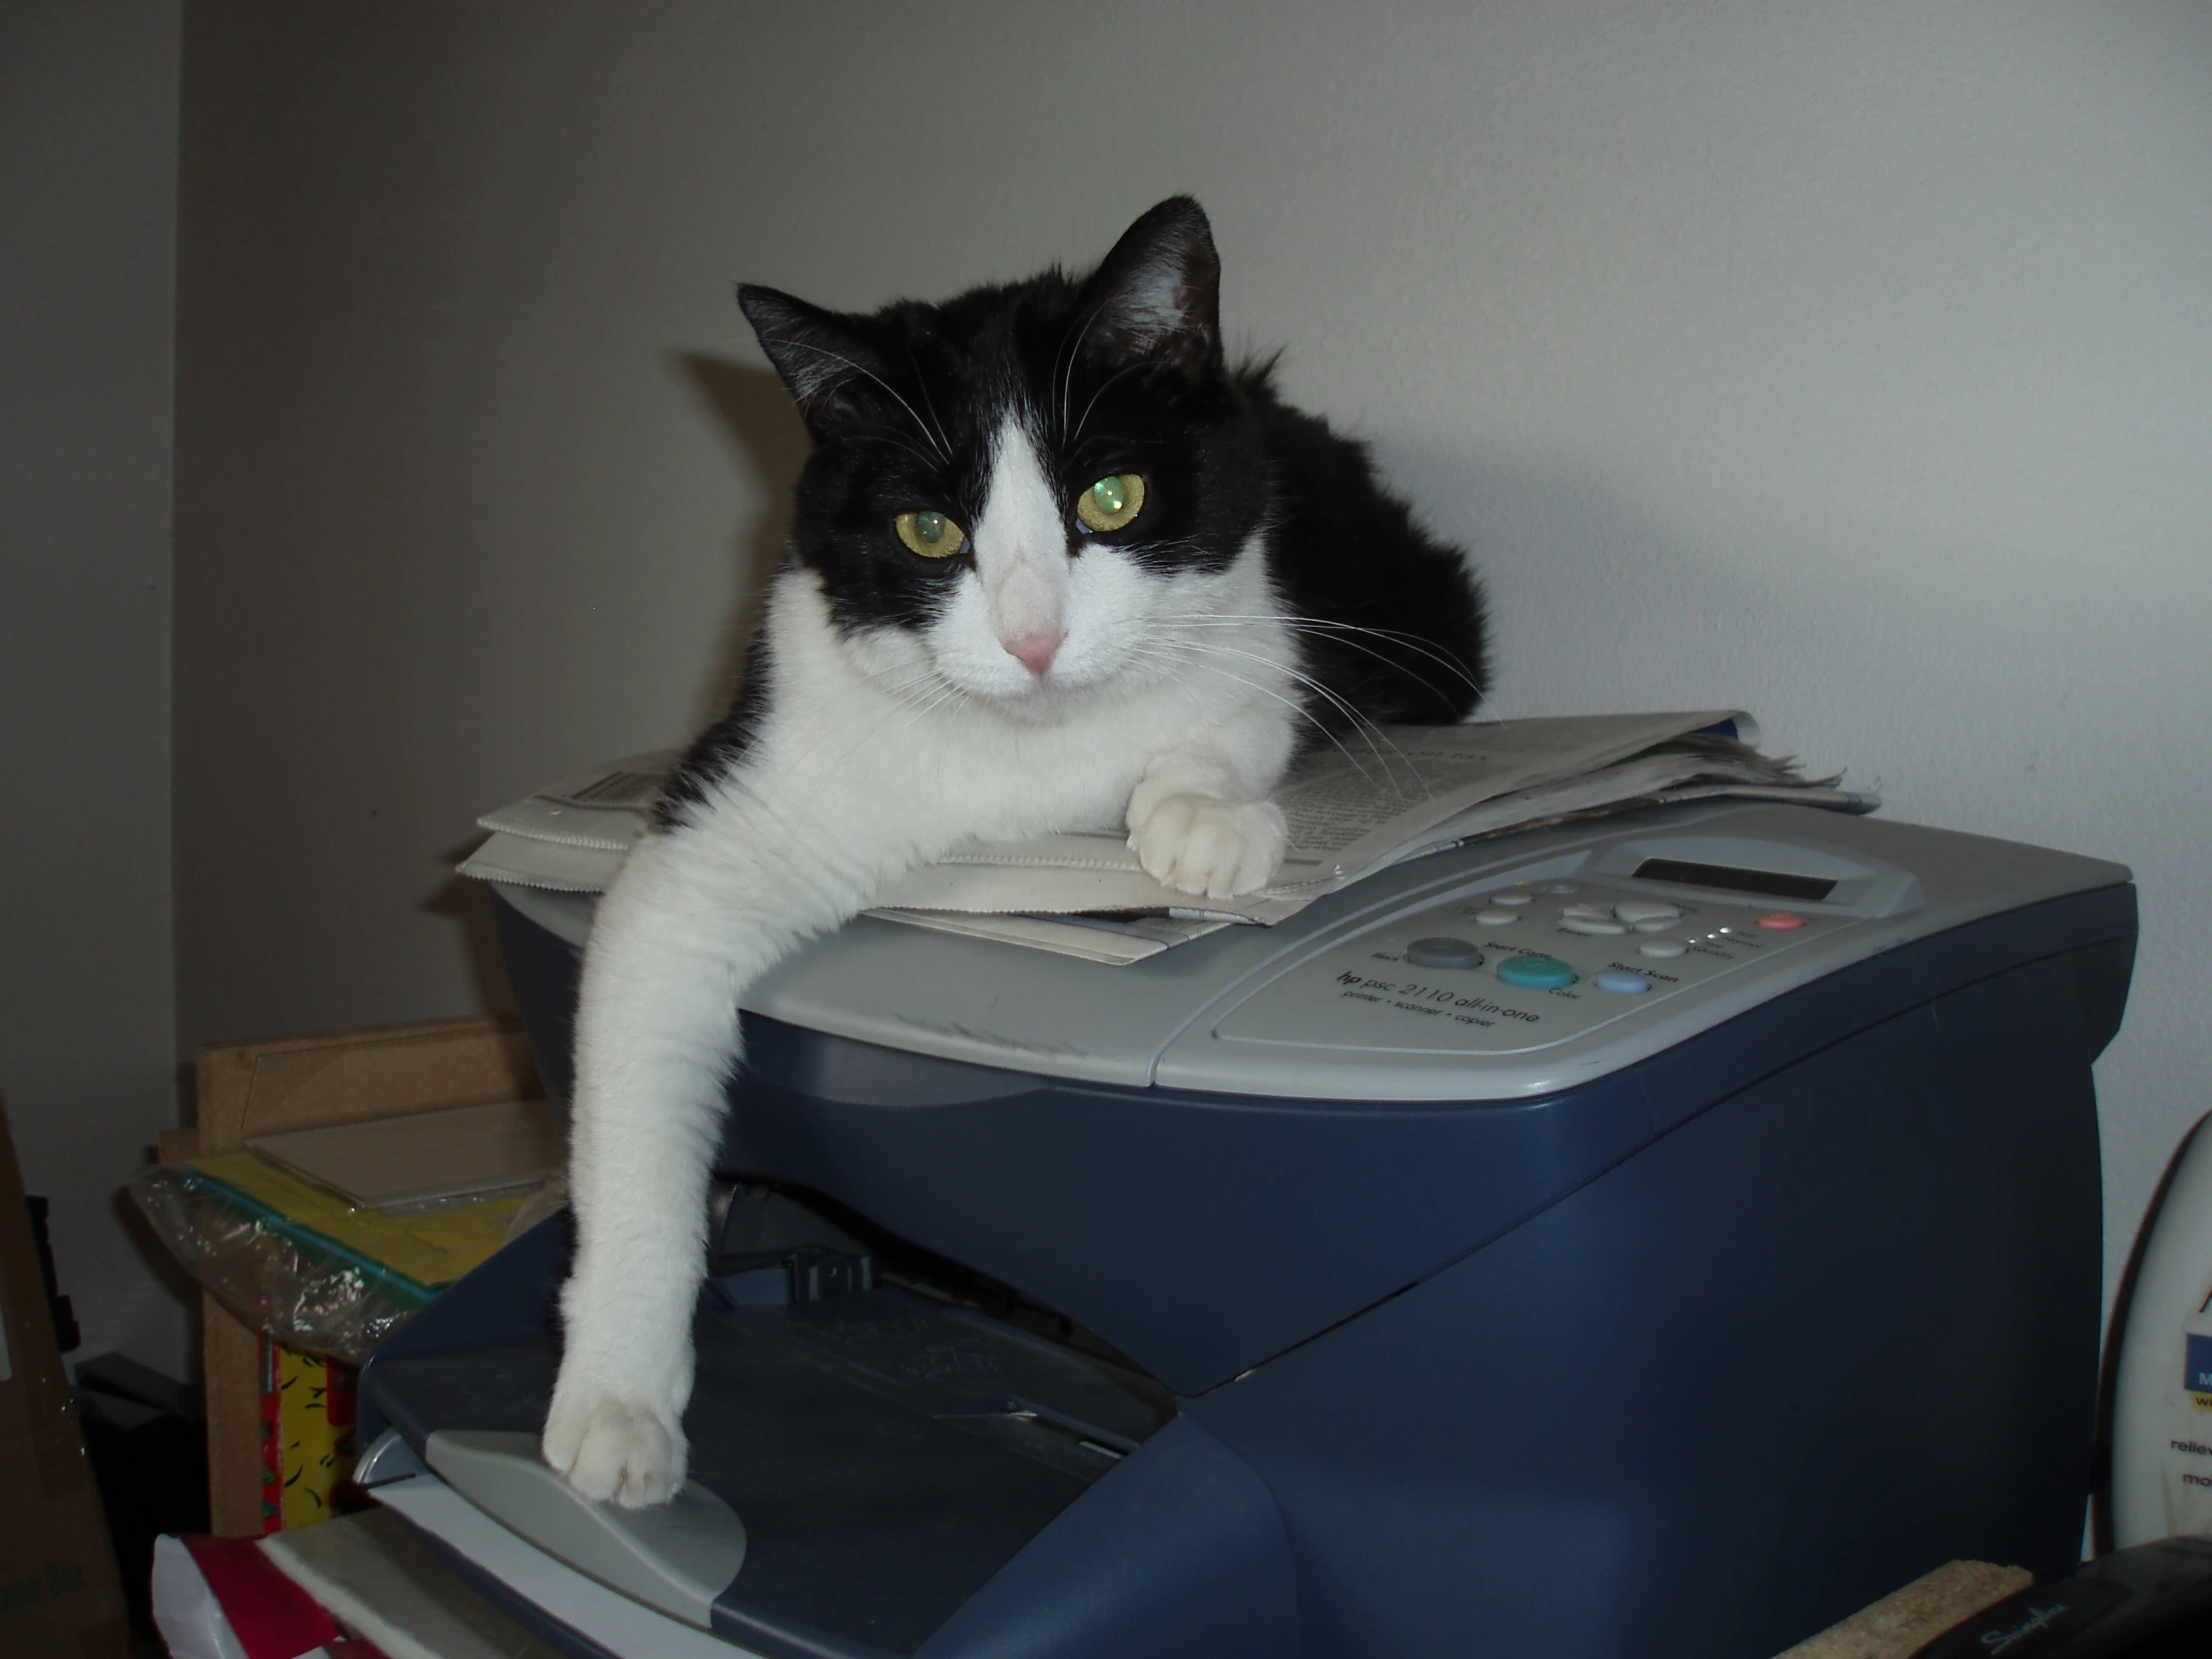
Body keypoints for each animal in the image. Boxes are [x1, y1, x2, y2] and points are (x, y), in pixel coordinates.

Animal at [544, 195, 1495, 1503]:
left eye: (1110, 499)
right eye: (926, 527)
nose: (1034, 639)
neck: (1026, 764)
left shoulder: (1275, 626)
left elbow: (1241, 708)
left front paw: (1199, 820)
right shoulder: (723, 814)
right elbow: (635, 1106)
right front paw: (615, 1407)